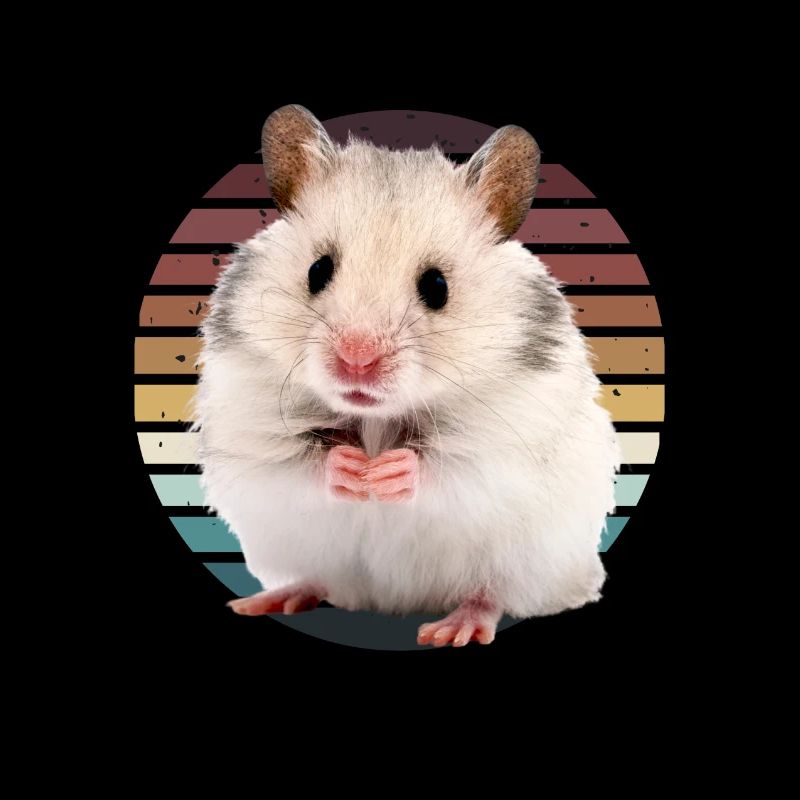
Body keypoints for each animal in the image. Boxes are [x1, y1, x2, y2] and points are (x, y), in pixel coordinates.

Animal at [196, 105, 620, 647]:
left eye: (437, 286)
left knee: (492, 594)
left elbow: (451, 469)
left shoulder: (507, 448)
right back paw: (266, 599)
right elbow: (296, 464)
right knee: (317, 578)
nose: (357, 360)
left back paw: (452, 629)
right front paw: (353, 469)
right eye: (317, 270)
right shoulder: (250, 435)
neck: (376, 419)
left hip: (534, 560)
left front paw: (387, 473)